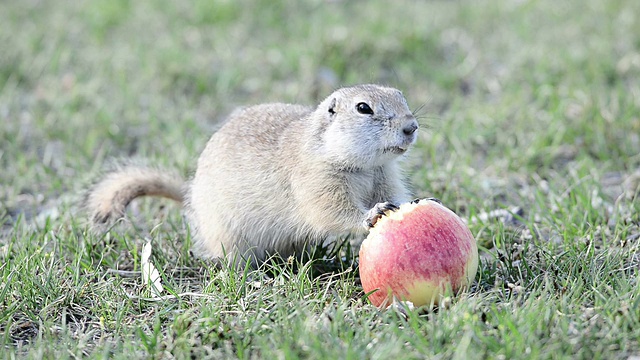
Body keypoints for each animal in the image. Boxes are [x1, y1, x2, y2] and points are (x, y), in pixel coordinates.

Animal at [87, 83, 422, 266]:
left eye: (401, 96)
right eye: (363, 108)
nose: (412, 126)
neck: (363, 166)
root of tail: (189, 198)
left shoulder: (384, 175)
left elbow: (393, 194)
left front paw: (412, 204)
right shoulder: (317, 181)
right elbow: (331, 211)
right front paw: (371, 214)